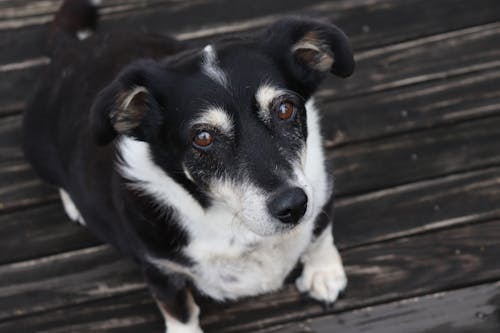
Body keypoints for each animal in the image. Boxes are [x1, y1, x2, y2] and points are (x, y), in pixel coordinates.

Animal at [23, 1, 354, 330]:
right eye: (203, 137)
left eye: (285, 109)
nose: (293, 205)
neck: (230, 219)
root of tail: (70, 48)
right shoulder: (160, 271)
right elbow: (180, 311)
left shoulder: (320, 193)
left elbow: (320, 234)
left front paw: (323, 274)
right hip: (38, 150)